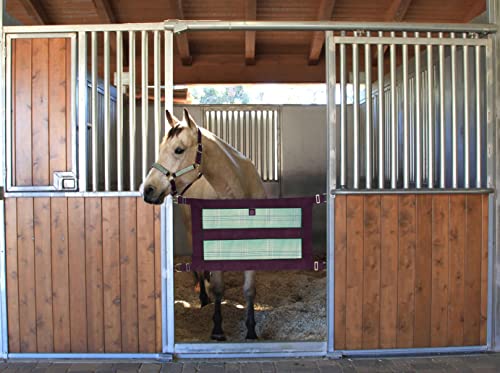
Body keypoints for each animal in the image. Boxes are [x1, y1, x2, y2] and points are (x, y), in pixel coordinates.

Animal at [142, 108, 266, 340]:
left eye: (179, 150)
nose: (147, 189)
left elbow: (249, 290)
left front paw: (251, 329)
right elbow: (218, 288)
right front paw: (217, 329)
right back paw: (203, 298)